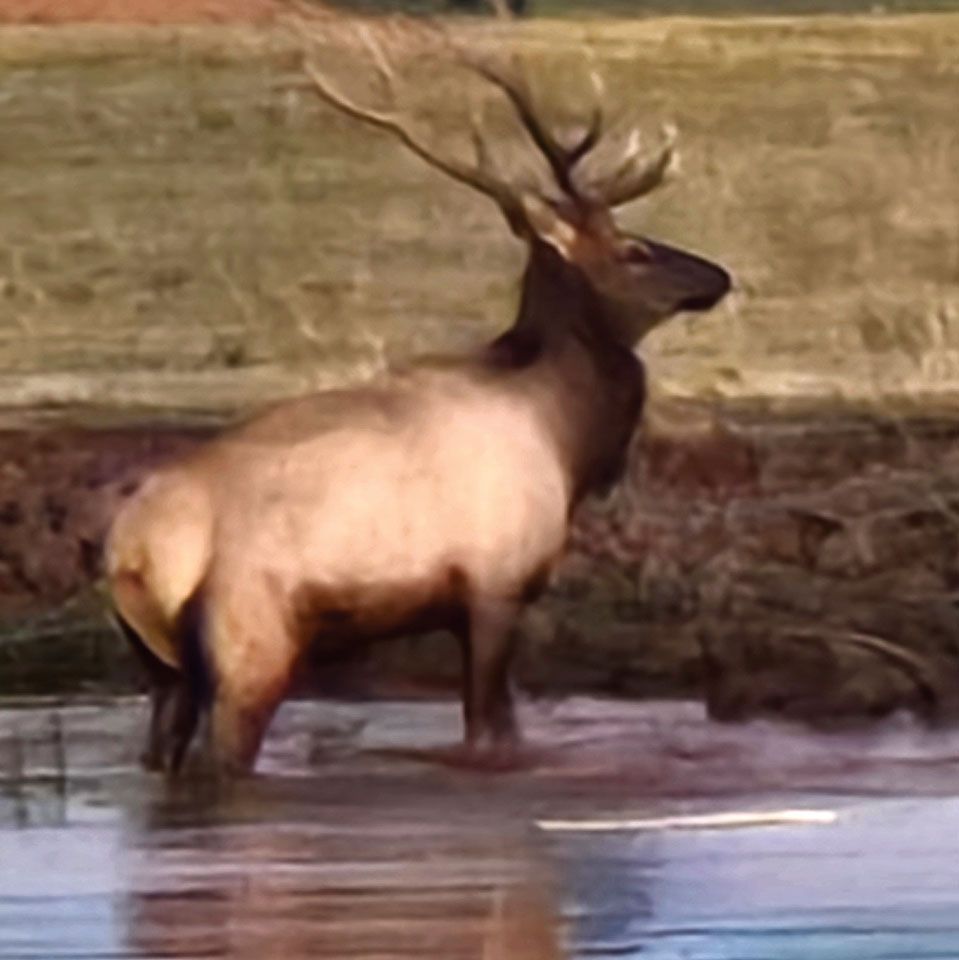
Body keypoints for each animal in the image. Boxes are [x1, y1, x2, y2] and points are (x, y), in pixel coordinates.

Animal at [105, 18, 732, 776]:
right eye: (634, 250)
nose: (718, 276)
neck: (565, 439)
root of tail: (131, 553)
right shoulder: (494, 587)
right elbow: (490, 732)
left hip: (160, 665)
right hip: (251, 643)